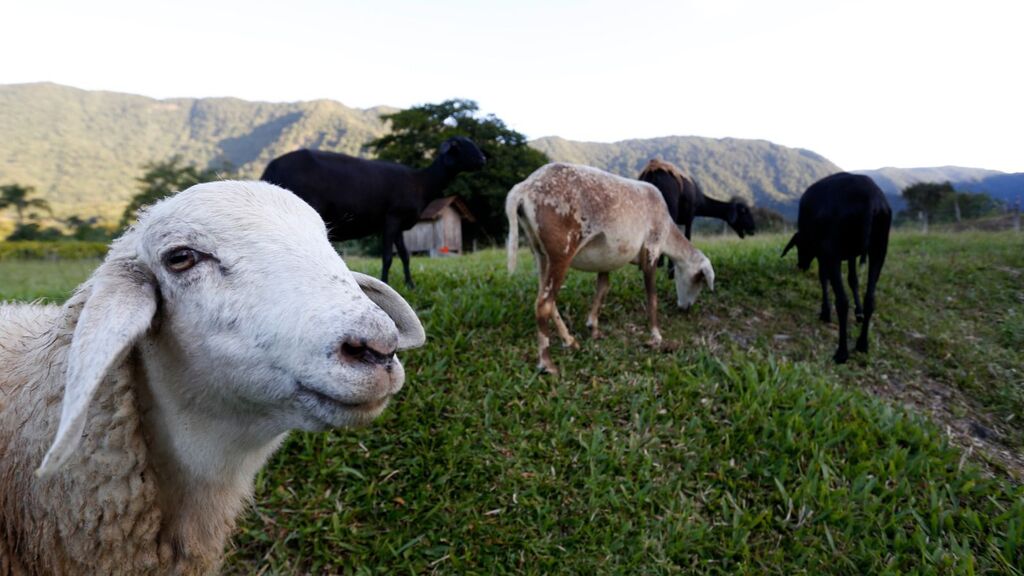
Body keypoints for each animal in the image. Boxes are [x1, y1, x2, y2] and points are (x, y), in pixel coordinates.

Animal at [264, 135, 487, 286]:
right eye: (462, 145)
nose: (483, 160)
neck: (422, 183)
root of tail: (271, 169)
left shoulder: (400, 225)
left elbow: (405, 255)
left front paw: (410, 285)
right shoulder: (392, 218)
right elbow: (387, 257)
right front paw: (386, 283)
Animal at [503, 163, 712, 375]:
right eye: (699, 279)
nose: (685, 308)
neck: (669, 233)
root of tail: (523, 188)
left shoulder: (606, 260)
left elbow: (603, 288)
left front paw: (593, 327)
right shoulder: (652, 249)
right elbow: (652, 297)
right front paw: (656, 335)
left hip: (540, 253)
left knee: (546, 299)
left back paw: (570, 341)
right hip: (561, 251)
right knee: (543, 303)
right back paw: (547, 363)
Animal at [782, 169, 888, 362]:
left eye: (799, 246)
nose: (801, 265)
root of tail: (871, 198)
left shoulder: (824, 254)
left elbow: (823, 278)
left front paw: (825, 312)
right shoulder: (851, 256)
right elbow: (853, 280)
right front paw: (859, 313)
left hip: (834, 253)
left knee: (843, 301)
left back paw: (842, 352)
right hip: (879, 250)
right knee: (870, 298)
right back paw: (862, 344)